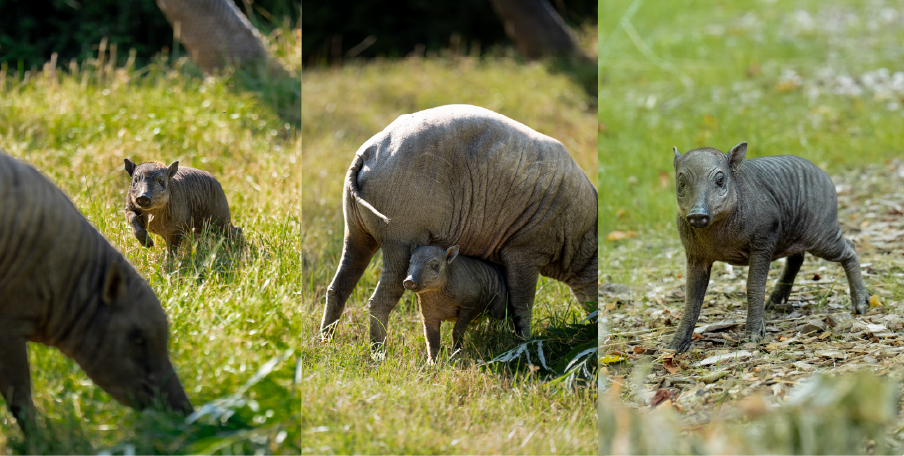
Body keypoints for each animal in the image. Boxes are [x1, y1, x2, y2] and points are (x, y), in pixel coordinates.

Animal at [319, 105, 598, 349]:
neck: (582, 237)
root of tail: (367, 152)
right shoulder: (525, 251)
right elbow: (522, 304)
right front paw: (525, 344)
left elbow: (504, 297)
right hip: (400, 239)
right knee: (380, 300)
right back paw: (379, 353)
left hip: (356, 232)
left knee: (338, 287)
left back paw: (325, 343)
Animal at [667, 142, 869, 353]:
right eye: (681, 182)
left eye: (720, 180)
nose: (697, 215)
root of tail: (824, 175)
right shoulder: (695, 255)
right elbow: (691, 297)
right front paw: (674, 346)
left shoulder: (762, 245)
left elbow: (754, 286)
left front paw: (753, 337)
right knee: (797, 259)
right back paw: (773, 303)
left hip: (822, 235)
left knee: (850, 248)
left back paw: (861, 305)